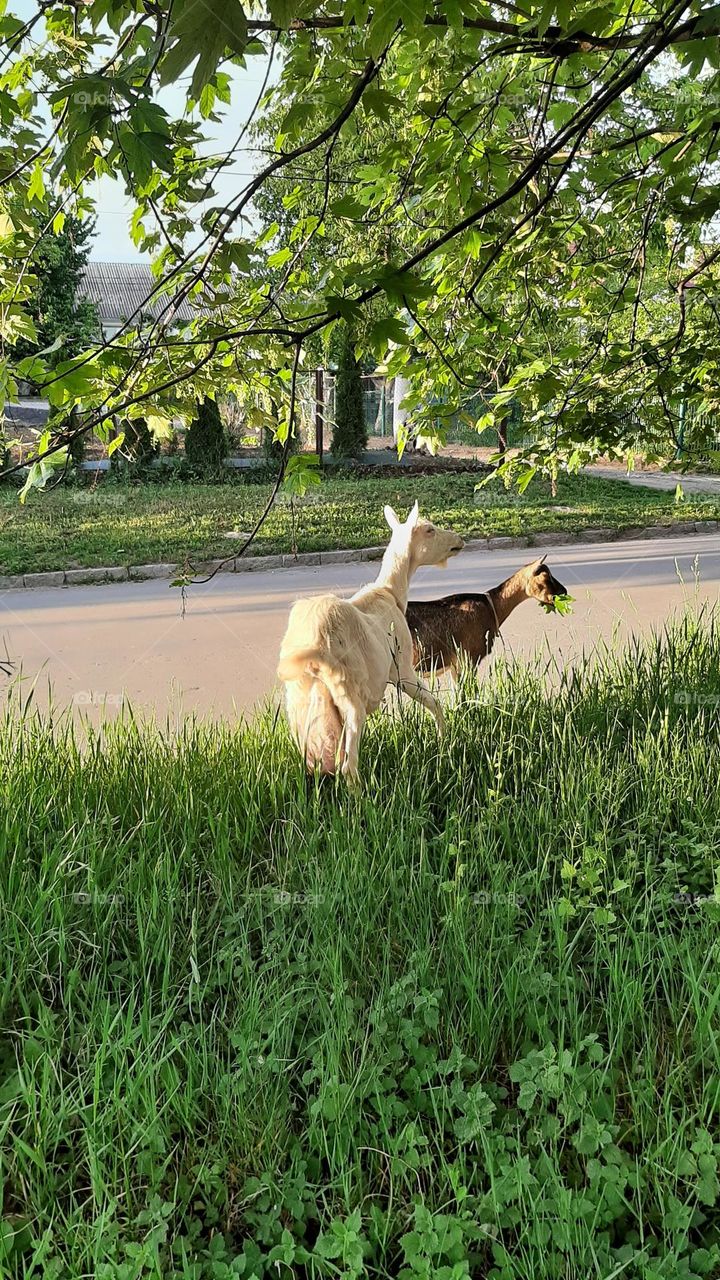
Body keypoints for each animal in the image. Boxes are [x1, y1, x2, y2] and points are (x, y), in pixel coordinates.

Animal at [278, 501, 461, 778]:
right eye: (429, 529)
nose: (459, 540)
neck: (390, 593)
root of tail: (313, 650)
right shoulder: (402, 668)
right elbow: (432, 701)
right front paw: (444, 742)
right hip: (348, 694)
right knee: (347, 765)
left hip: (301, 703)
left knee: (312, 762)